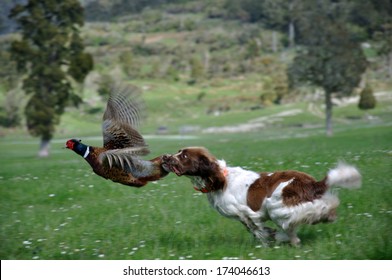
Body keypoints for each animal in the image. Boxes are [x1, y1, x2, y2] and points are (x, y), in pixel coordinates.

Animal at [162, 148, 362, 246]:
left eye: (184, 155)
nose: (164, 157)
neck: (220, 180)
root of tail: (313, 183)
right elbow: (253, 229)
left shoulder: (246, 212)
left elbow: (255, 229)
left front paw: (268, 239)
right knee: (326, 207)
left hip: (276, 205)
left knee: (294, 223)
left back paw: (287, 237)